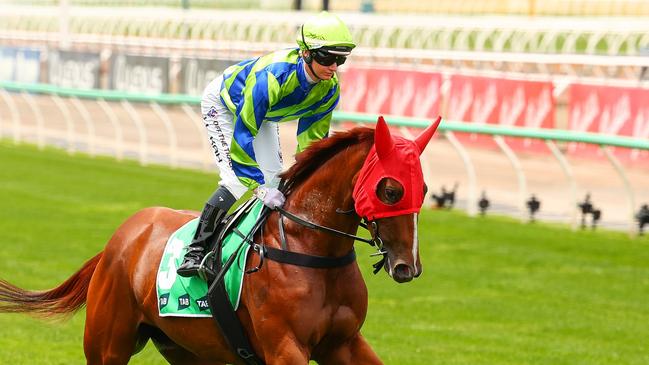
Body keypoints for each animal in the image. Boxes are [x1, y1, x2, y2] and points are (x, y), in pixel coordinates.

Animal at [0, 115, 440, 362]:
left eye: (424, 189)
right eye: (390, 190)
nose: (408, 266)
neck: (312, 250)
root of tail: (120, 238)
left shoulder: (344, 343)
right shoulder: (285, 347)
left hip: (190, 349)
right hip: (107, 344)